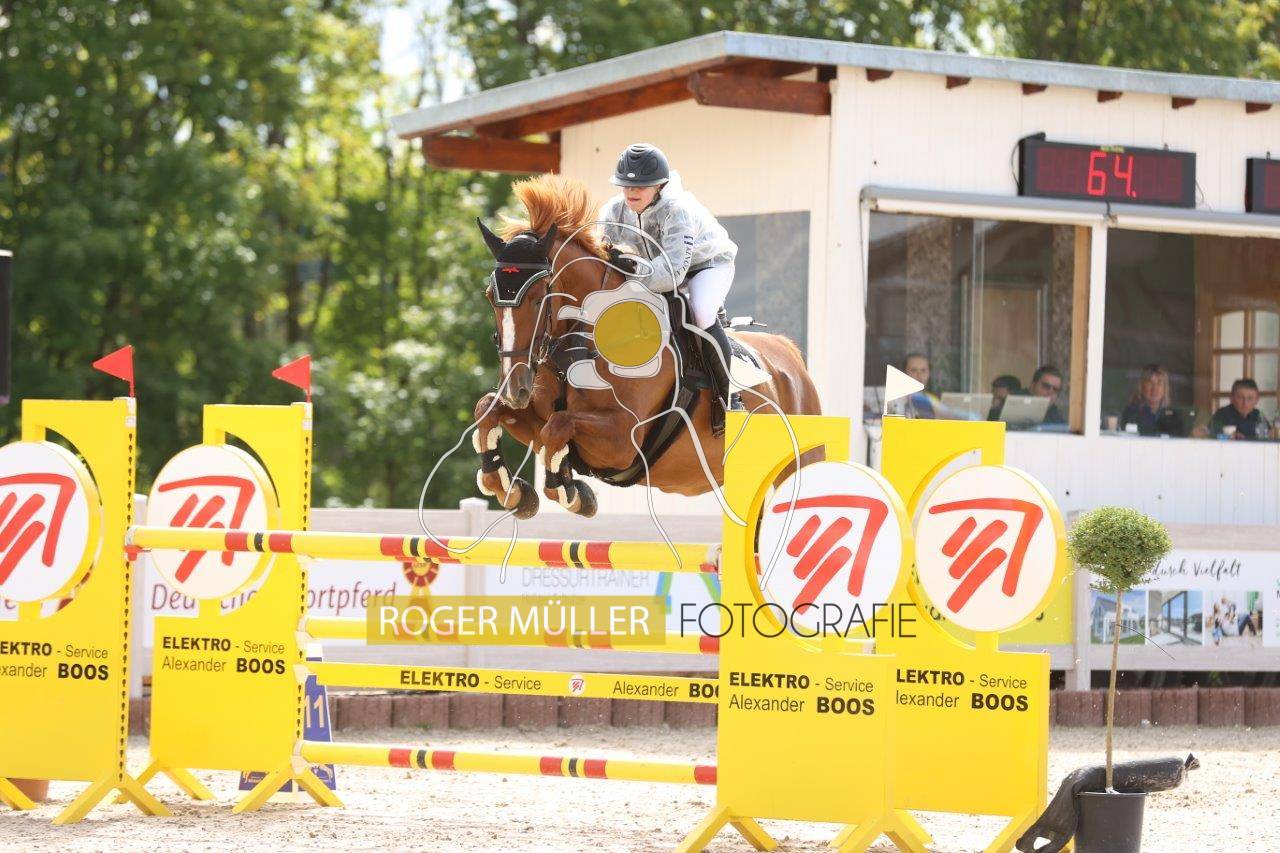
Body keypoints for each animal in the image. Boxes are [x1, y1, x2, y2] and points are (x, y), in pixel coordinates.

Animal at [472, 174, 821, 518]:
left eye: (537, 298)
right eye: (490, 296)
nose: (515, 389)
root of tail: (790, 355)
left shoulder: (623, 441)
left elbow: (559, 426)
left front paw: (571, 493)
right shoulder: (539, 422)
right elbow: (488, 410)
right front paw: (512, 490)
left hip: (800, 464)